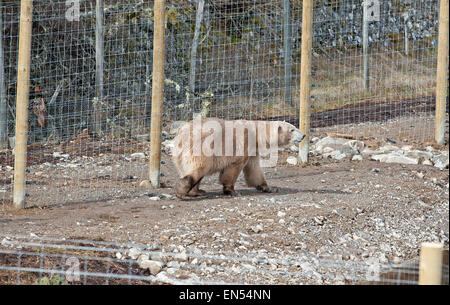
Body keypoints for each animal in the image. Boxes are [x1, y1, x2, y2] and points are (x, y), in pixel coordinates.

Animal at [172, 117, 306, 198]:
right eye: (292, 129)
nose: (304, 135)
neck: (256, 133)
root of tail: (180, 136)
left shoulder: (253, 149)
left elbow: (254, 170)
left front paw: (269, 188)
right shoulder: (243, 143)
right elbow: (234, 167)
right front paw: (233, 191)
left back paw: (198, 191)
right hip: (202, 147)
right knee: (199, 168)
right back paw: (182, 190)